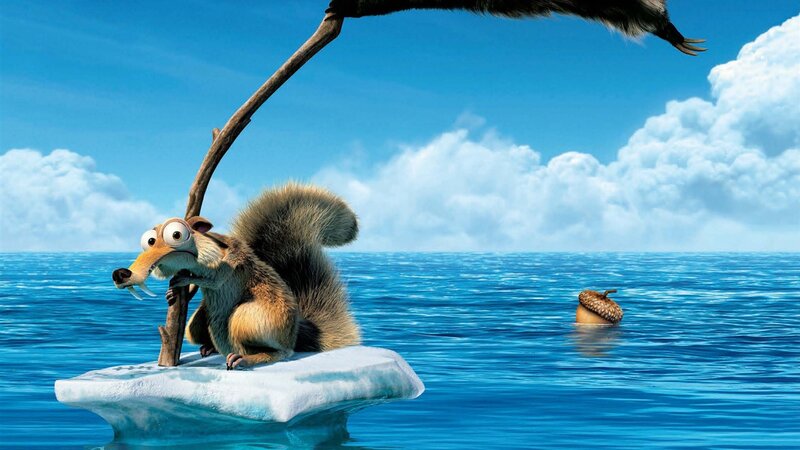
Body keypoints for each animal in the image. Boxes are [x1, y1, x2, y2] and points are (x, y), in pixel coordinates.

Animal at [112, 183, 361, 369]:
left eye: (176, 234)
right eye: (149, 240)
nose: (121, 274)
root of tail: (296, 334)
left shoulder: (228, 266)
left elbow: (212, 280)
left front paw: (184, 280)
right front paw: (173, 292)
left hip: (251, 319)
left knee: (282, 351)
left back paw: (246, 358)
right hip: (198, 323)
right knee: (196, 328)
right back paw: (209, 348)